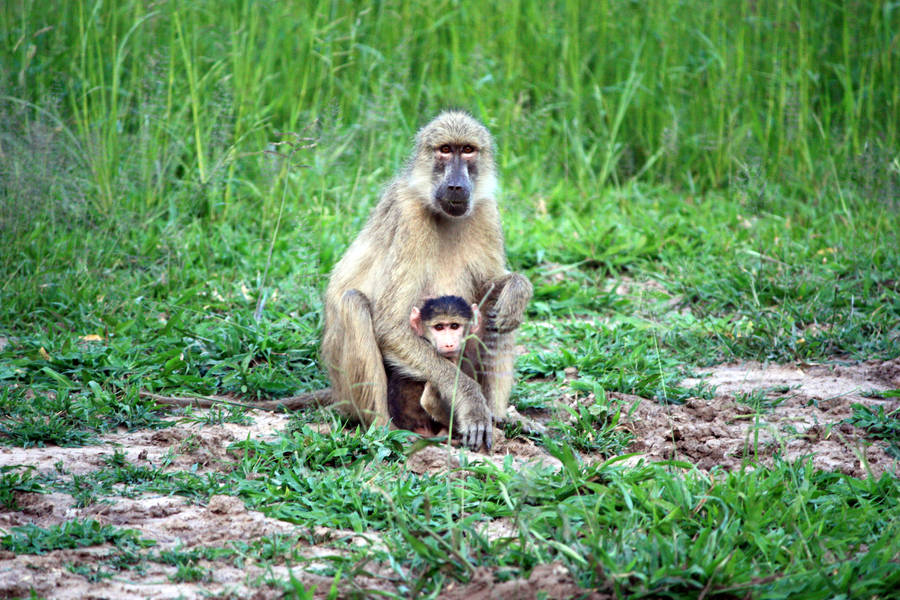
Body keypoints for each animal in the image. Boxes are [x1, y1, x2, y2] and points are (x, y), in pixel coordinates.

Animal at [321, 110, 533, 450]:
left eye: (468, 150)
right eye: (445, 150)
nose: (457, 185)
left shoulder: (486, 210)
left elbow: (492, 288)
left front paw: (518, 288)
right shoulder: (409, 216)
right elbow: (390, 326)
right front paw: (471, 402)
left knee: (497, 312)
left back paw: (499, 415)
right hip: (348, 390)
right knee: (354, 303)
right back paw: (384, 431)